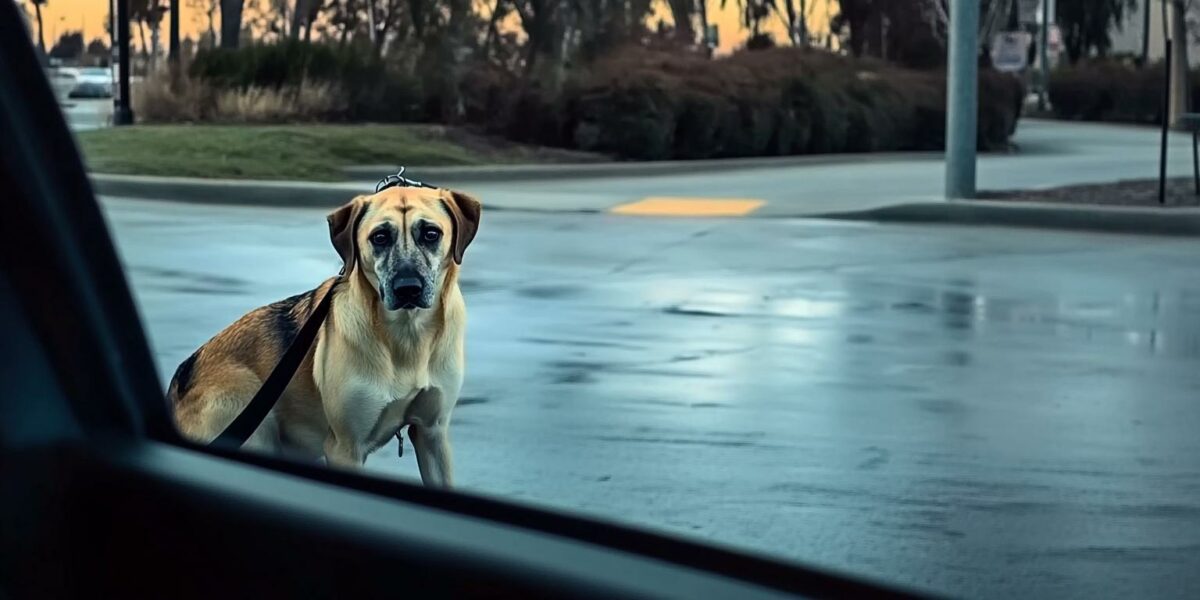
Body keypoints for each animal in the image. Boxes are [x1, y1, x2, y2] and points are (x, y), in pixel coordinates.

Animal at [165, 186, 482, 487]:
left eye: (431, 234)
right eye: (380, 237)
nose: (408, 288)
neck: (406, 335)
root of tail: (180, 380)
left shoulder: (432, 434)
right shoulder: (346, 447)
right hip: (250, 418)